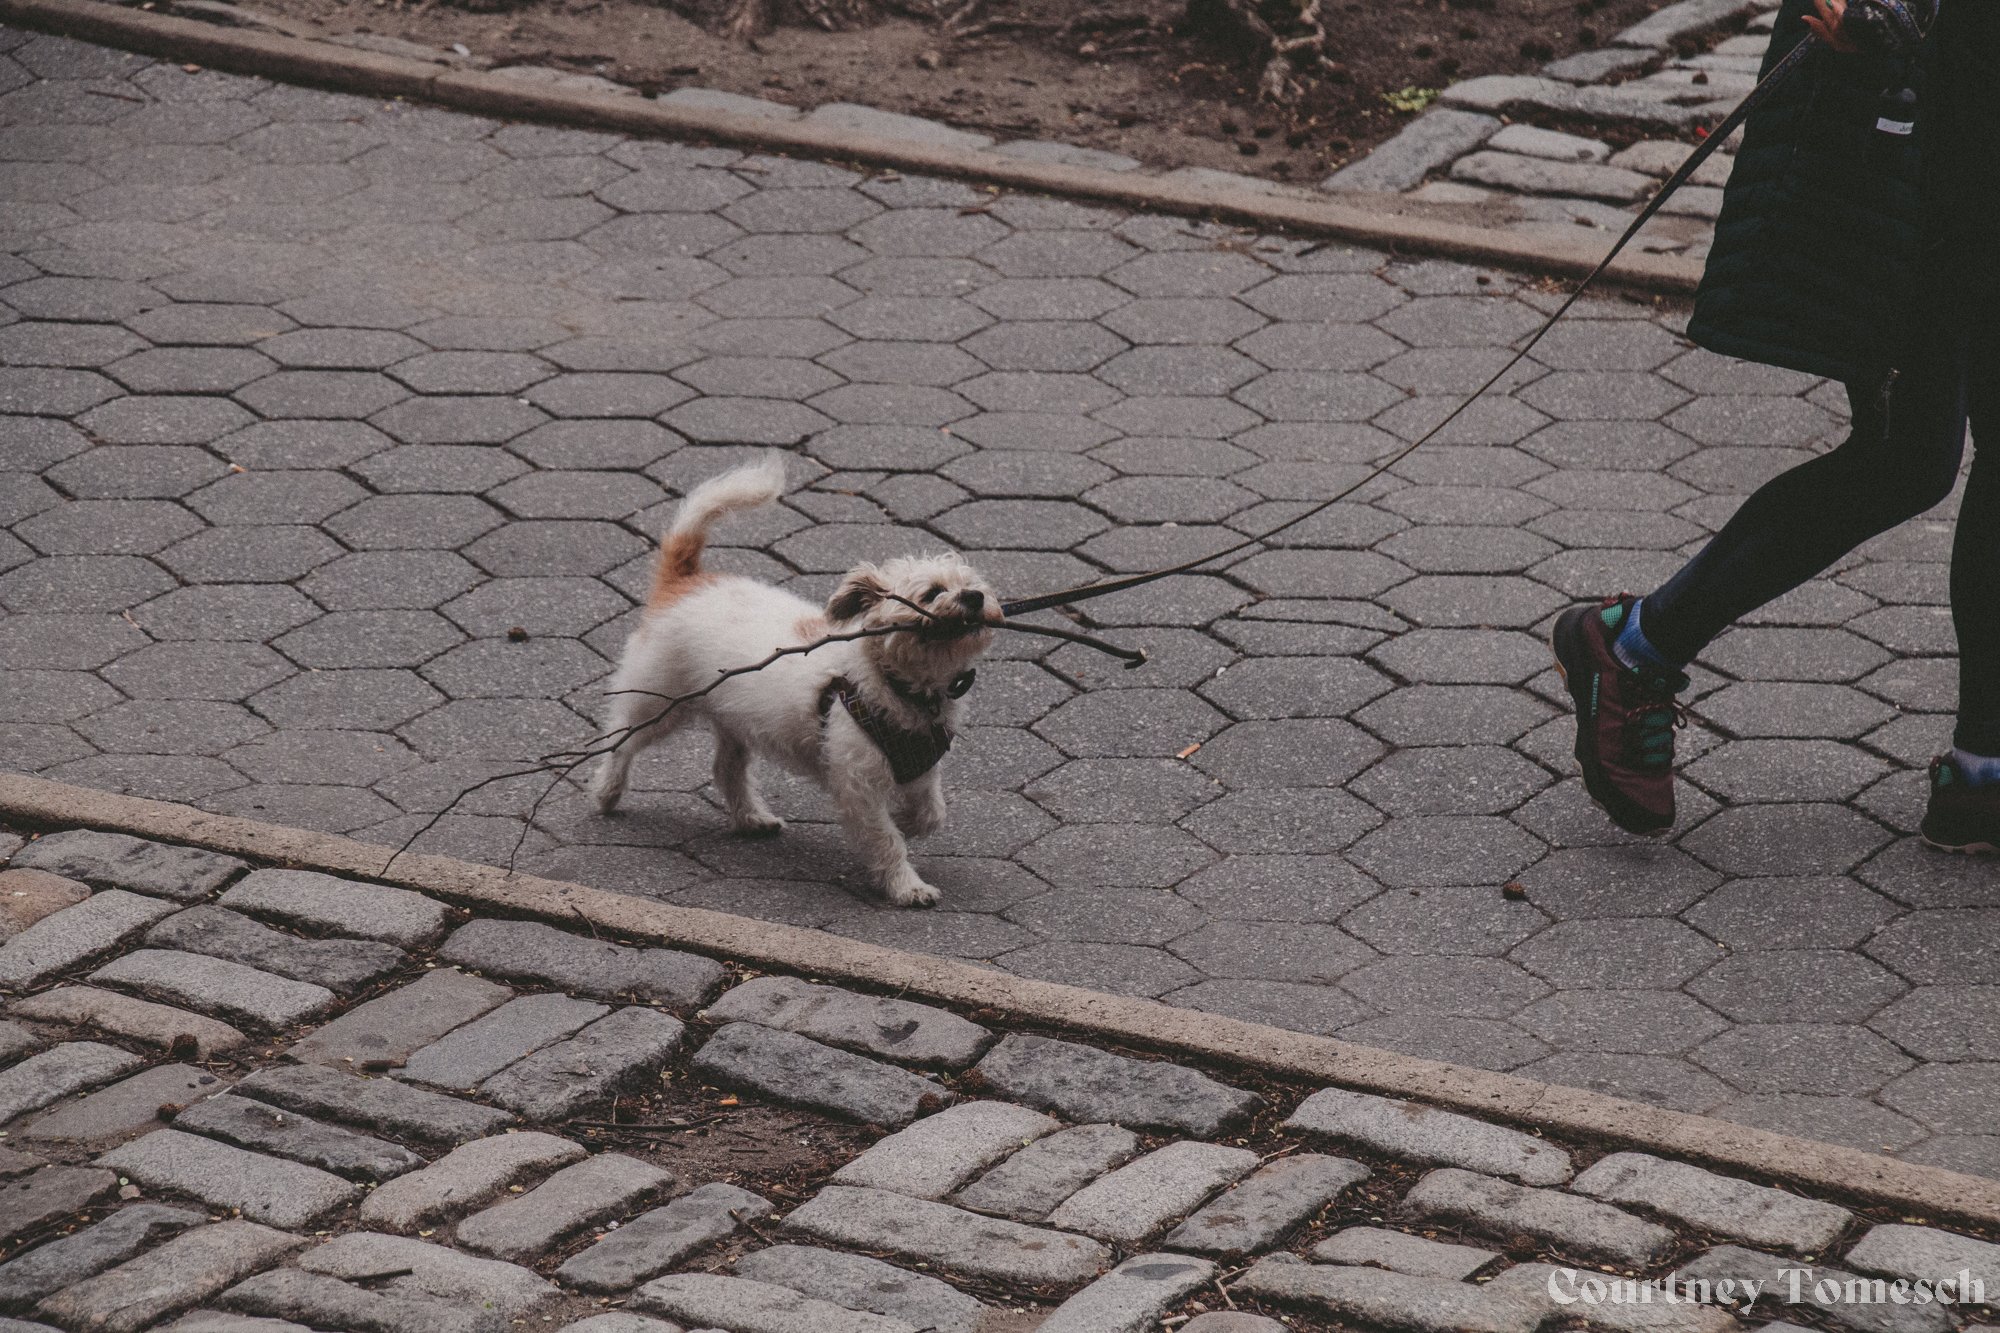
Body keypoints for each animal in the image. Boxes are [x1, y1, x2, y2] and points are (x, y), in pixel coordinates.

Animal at [588, 454, 1000, 904]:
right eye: (931, 593)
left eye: (973, 585)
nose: (975, 597)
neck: (897, 686)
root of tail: (686, 581)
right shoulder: (856, 784)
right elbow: (884, 839)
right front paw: (906, 885)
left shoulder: (921, 768)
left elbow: (930, 814)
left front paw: (907, 822)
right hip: (659, 702)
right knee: (620, 741)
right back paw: (607, 791)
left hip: (733, 718)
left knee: (726, 769)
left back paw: (751, 817)